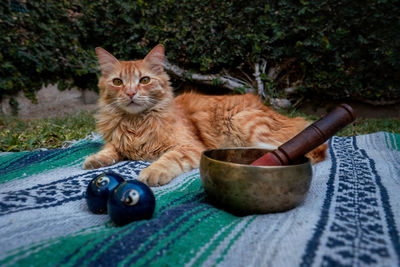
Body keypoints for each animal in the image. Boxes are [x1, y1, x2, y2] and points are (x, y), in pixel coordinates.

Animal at [83, 44, 326, 186]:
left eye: (144, 80)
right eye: (117, 82)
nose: (131, 93)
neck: (136, 123)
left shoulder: (189, 146)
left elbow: (169, 158)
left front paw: (152, 172)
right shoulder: (119, 141)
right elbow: (111, 149)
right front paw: (95, 160)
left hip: (245, 124)